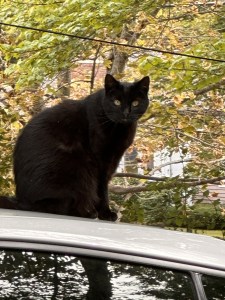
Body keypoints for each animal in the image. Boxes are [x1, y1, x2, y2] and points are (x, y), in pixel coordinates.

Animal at [12, 74, 150, 220]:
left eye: (135, 103)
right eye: (116, 102)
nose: (126, 113)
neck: (120, 128)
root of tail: (22, 200)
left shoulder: (115, 157)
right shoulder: (101, 160)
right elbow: (102, 188)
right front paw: (106, 213)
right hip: (77, 172)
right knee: (60, 206)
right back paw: (87, 213)